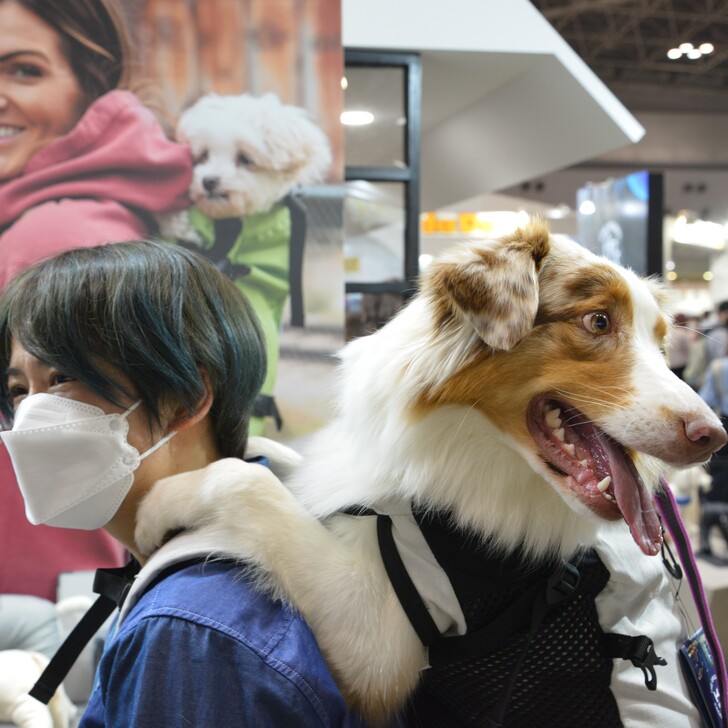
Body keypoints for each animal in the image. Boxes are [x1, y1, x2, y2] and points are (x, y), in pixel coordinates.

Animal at [136, 219, 727, 723]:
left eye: (659, 341)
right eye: (598, 321)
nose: (713, 437)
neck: (468, 443)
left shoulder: (375, 641)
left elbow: (244, 480)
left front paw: (156, 505)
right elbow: (280, 462)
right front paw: (258, 445)